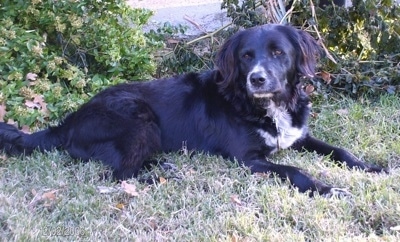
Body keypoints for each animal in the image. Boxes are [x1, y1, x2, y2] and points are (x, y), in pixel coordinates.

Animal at [0, 23, 388, 196]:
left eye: (279, 52)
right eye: (246, 56)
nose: (257, 79)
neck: (264, 105)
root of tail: (67, 122)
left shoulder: (297, 135)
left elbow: (341, 150)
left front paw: (373, 167)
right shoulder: (248, 159)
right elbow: (294, 170)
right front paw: (327, 189)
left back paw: (163, 166)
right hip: (138, 116)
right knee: (116, 175)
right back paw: (160, 177)